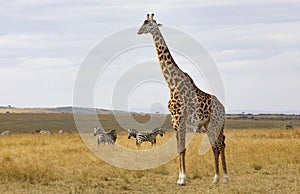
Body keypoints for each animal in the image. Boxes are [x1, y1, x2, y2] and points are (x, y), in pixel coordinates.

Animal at [137, 13, 229, 185]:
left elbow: (183, 148)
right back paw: (215, 178)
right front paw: (180, 178)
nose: (139, 31)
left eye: (149, 24)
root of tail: (223, 108)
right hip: (207, 125)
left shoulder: (181, 119)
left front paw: (183, 179)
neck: (172, 85)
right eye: (143, 22)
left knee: (221, 145)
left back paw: (225, 178)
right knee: (215, 147)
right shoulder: (174, 121)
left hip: (217, 123)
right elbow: (178, 148)